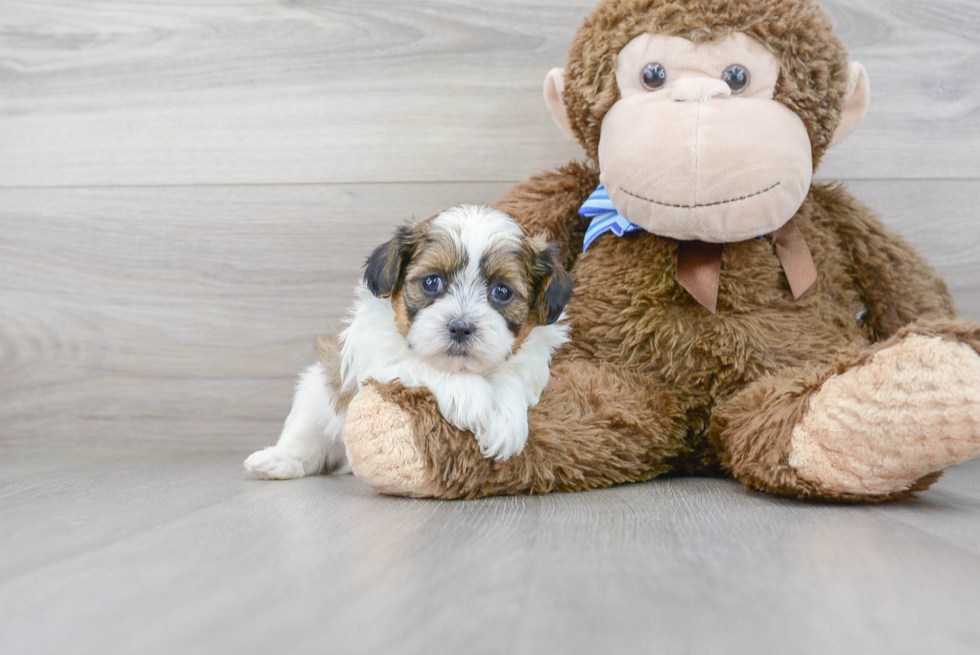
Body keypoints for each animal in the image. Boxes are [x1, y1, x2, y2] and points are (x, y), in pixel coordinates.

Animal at [244, 208, 576, 480]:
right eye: (431, 282)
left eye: (502, 291)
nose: (460, 328)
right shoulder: (379, 357)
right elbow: (420, 364)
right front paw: (471, 397)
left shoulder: (530, 359)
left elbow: (511, 377)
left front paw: (507, 421)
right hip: (316, 393)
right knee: (307, 439)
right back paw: (275, 460)